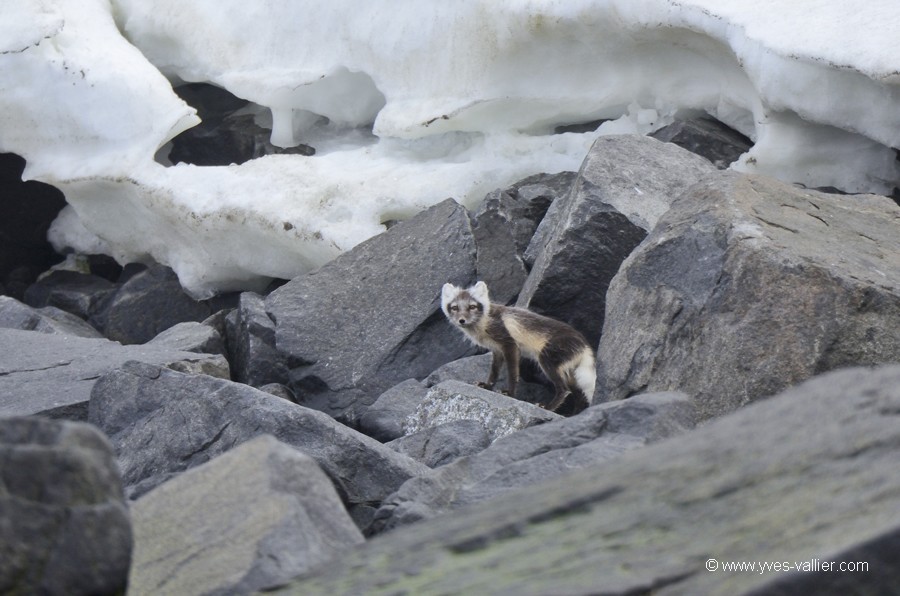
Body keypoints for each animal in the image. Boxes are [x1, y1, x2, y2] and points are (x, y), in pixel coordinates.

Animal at [442, 280, 596, 412]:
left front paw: (509, 393)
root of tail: (585, 344)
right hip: (570, 374)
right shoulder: (497, 350)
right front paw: (487, 386)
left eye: (472, 307)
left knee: (564, 389)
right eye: (454, 308)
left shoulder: (510, 345)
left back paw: (548, 407)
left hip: (547, 361)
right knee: (579, 397)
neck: (486, 321)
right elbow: (494, 372)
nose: (462, 320)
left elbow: (512, 374)